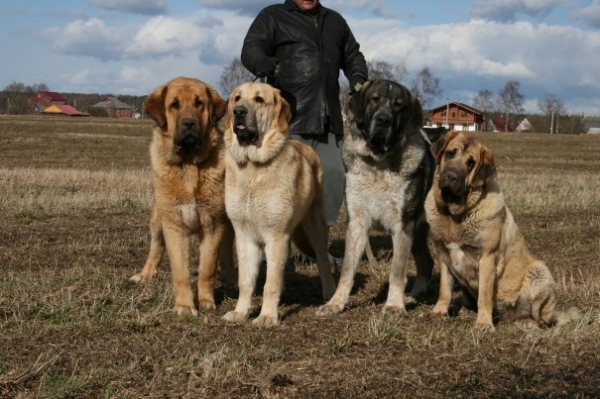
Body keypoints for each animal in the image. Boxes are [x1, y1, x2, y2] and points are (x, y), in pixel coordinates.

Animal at [130, 77, 236, 316]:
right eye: (174, 105)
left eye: (199, 103)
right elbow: (181, 271)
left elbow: (207, 268)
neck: (188, 165)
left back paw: (231, 279)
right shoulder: (174, 225)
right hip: (157, 220)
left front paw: (206, 301)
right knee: (155, 248)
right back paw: (144, 275)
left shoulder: (213, 224)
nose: (189, 123)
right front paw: (185, 306)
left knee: (227, 252)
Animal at [221, 82, 336, 328]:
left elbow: (270, 283)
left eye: (259, 100)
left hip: (315, 226)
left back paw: (330, 292)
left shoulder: (276, 234)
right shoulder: (244, 236)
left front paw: (267, 316)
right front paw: (240, 312)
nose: (238, 112)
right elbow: (246, 281)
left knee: (323, 260)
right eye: (237, 98)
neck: (253, 167)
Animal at [316, 80, 434, 318]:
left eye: (398, 105)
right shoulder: (357, 225)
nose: (383, 120)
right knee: (427, 263)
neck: (377, 162)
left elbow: (397, 271)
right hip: (417, 232)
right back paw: (413, 295)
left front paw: (394, 306)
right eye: (374, 99)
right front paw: (335, 303)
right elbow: (347, 271)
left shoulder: (402, 227)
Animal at [426, 133, 556, 330]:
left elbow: (484, 296)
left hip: (540, 272)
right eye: (450, 153)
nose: (451, 176)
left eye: (471, 163)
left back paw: (527, 323)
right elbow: (445, 289)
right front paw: (438, 312)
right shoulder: (444, 256)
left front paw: (483, 324)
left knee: (540, 318)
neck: (455, 215)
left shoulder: (487, 257)